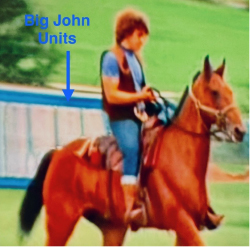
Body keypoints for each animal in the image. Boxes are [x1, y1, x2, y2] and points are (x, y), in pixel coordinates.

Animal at [18, 57, 245, 246]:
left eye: (231, 92)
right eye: (215, 92)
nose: (240, 131)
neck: (181, 159)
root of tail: (58, 152)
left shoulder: (188, 227)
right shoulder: (181, 221)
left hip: (113, 228)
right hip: (61, 221)